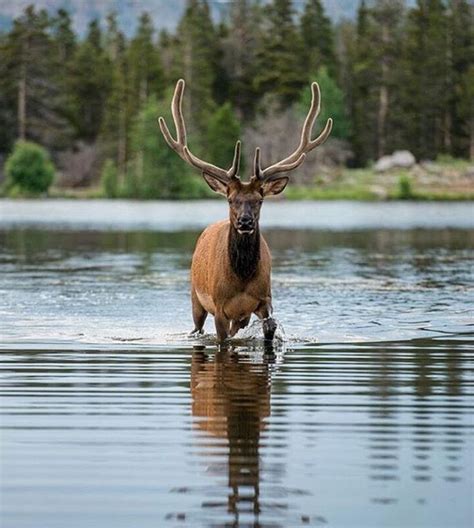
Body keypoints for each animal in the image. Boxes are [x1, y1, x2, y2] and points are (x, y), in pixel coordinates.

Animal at [157, 78, 332, 342]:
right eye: (231, 199)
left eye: (259, 200)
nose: (245, 222)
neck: (241, 279)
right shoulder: (219, 307)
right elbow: (223, 339)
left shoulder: (264, 301)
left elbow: (269, 327)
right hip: (195, 298)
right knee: (197, 327)